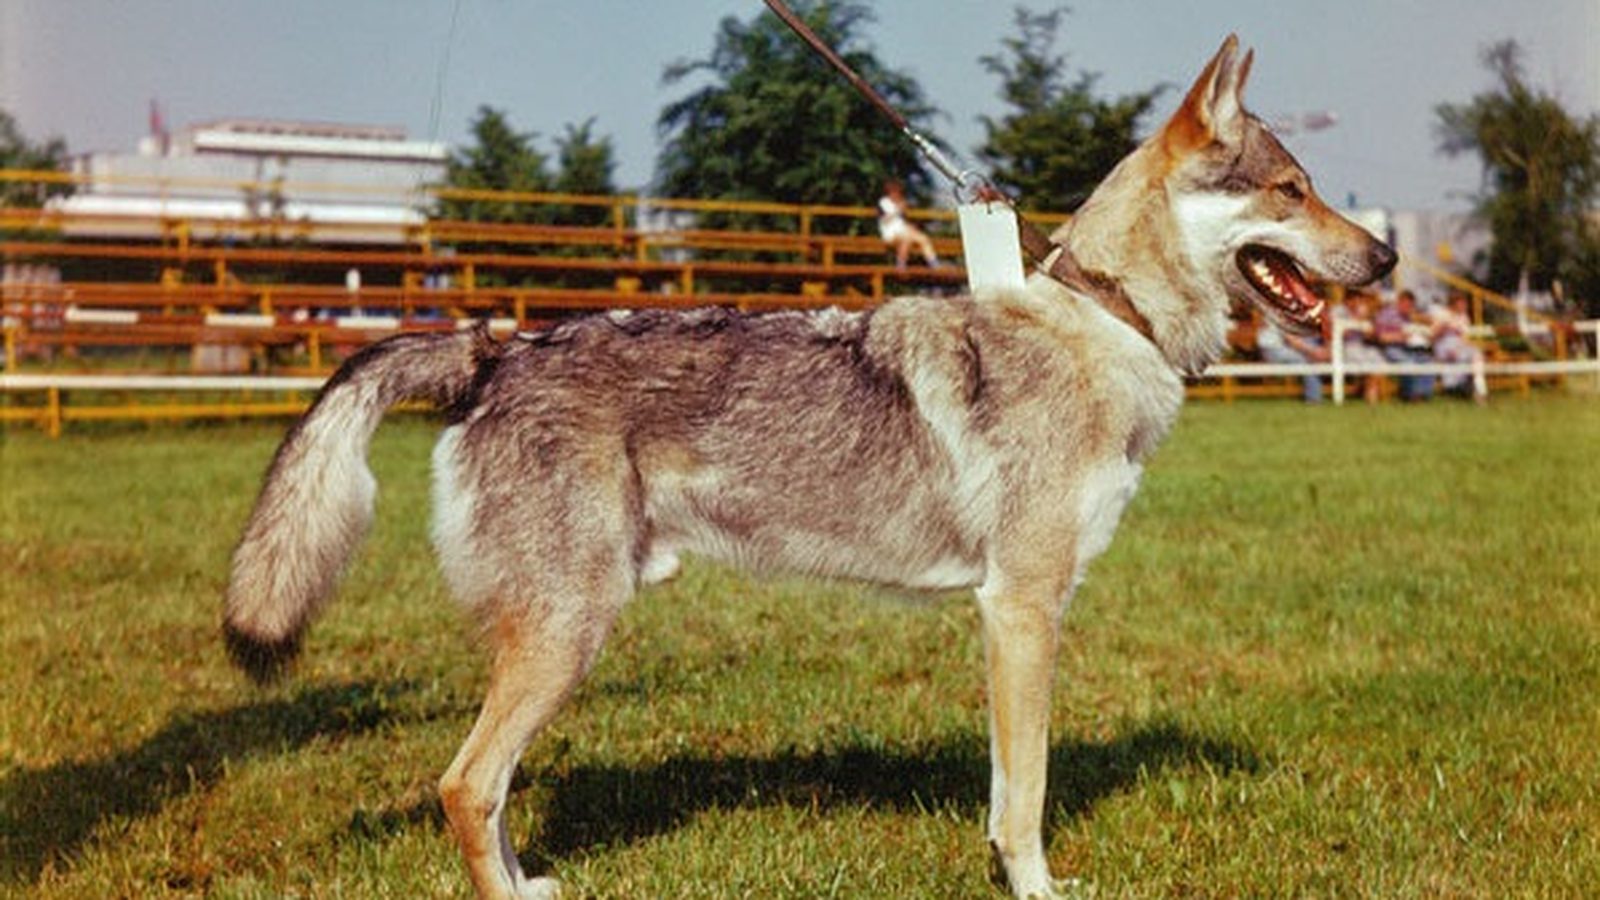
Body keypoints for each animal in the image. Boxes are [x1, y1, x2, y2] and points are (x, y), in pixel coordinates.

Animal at [224, 36, 1394, 899]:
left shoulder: (1006, 619)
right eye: (1290, 191)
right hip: (570, 630)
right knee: (465, 786)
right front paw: (1038, 889)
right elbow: (1027, 803)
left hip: (563, 634)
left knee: (489, 791)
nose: (1385, 257)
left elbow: (1001, 791)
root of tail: (497, 347)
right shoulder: (1022, 608)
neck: (1106, 322)